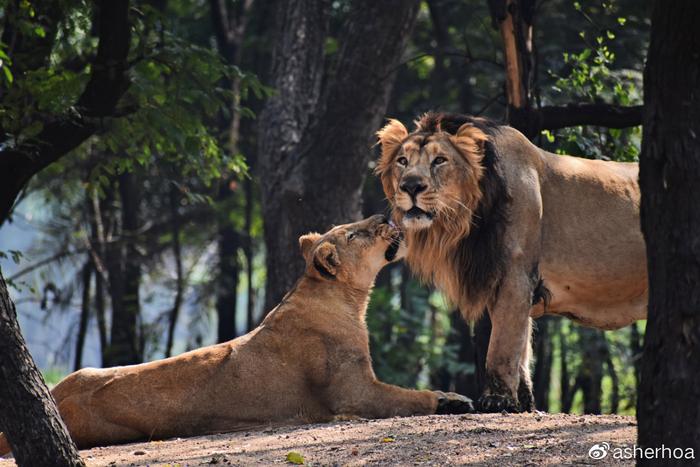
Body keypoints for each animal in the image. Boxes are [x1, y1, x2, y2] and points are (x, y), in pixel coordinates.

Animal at [1, 217, 470, 458]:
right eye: (355, 233)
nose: (386, 215)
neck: (347, 299)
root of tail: (55, 395)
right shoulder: (354, 393)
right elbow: (407, 397)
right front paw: (453, 400)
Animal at [378, 112, 644, 414]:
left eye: (439, 160)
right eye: (402, 161)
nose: (410, 186)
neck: (465, 223)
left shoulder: (516, 275)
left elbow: (502, 344)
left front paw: (498, 400)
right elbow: (521, 345)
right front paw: (525, 403)